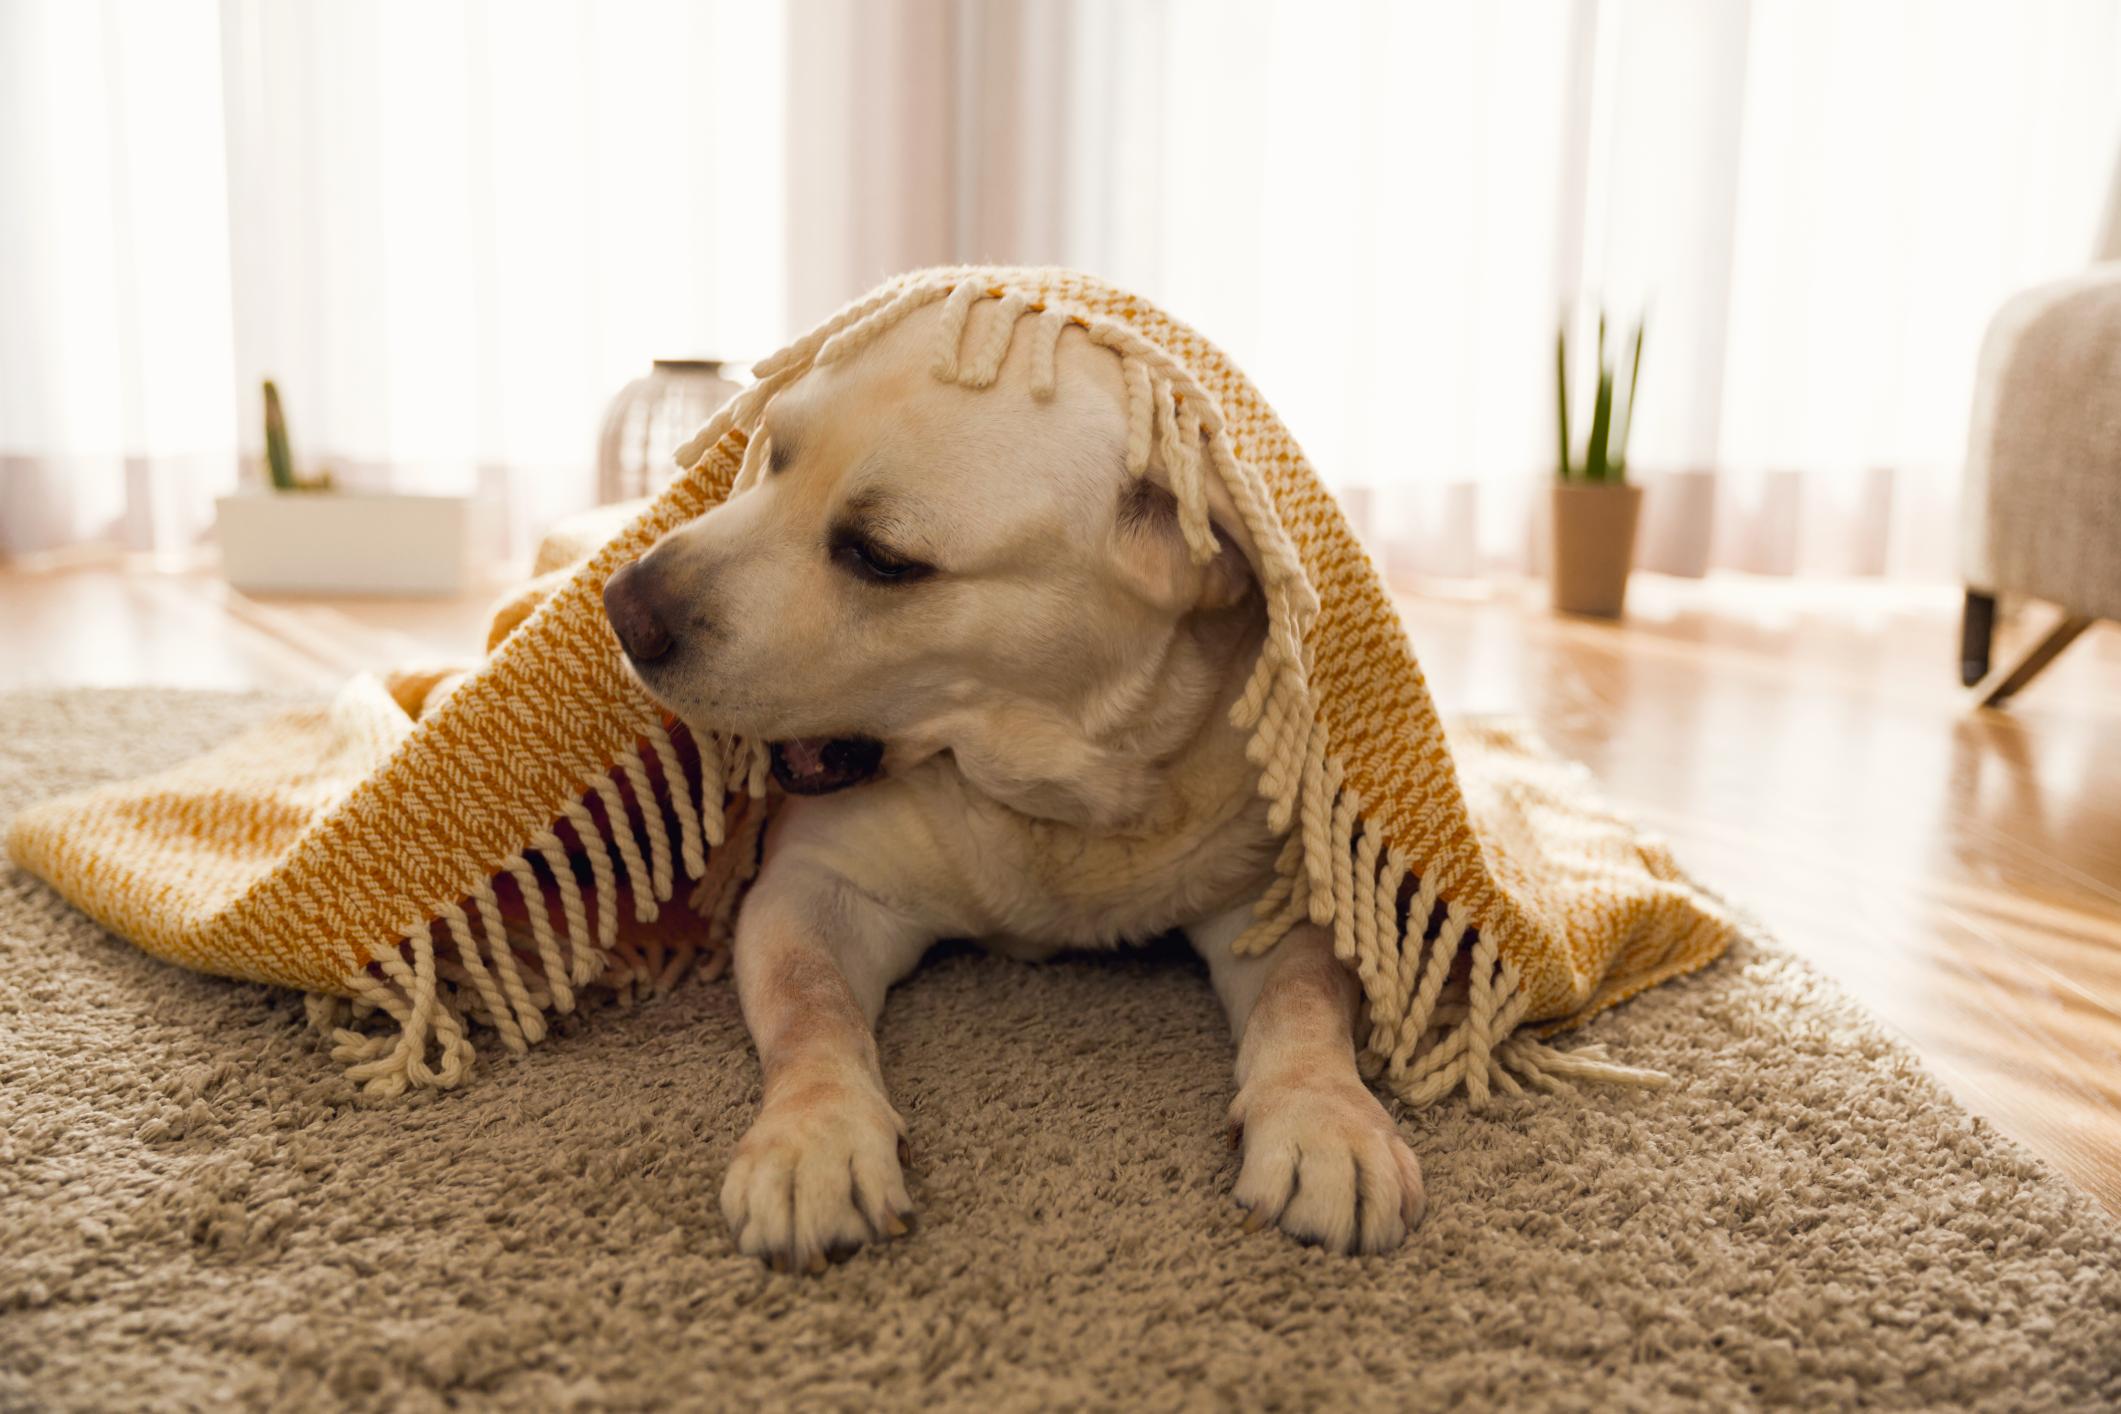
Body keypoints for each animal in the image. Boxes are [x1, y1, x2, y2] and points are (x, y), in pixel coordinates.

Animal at [602, 298, 1425, 1271]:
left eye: (881, 558)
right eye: (774, 454)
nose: (623, 605)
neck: (1057, 799)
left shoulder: (1279, 901)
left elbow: (1304, 1005)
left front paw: (1328, 1123)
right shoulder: (813, 889)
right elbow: (812, 1009)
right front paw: (815, 1139)